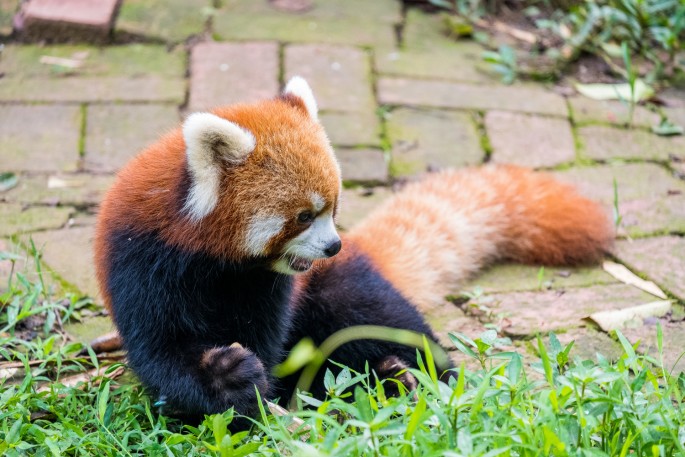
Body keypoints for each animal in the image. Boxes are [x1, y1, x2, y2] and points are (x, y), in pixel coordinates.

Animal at [92, 76, 616, 422]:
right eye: (305, 215)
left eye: (335, 206)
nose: (334, 245)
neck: (219, 266)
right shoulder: (141, 265)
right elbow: (160, 352)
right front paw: (228, 381)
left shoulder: (270, 288)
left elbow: (266, 339)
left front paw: (259, 399)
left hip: (345, 290)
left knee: (389, 327)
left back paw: (405, 379)